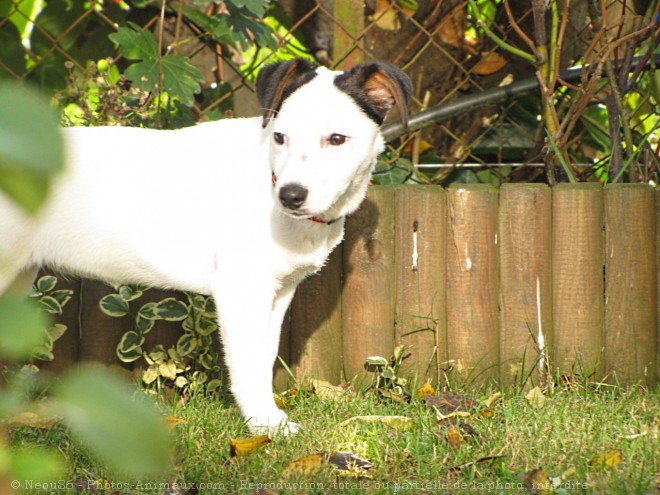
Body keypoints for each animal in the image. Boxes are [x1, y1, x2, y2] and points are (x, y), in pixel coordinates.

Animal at [0, 59, 410, 434]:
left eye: (337, 139)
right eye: (279, 137)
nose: (290, 196)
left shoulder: (278, 293)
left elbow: (264, 355)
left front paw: (267, 418)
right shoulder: (240, 289)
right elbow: (247, 362)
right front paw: (264, 426)